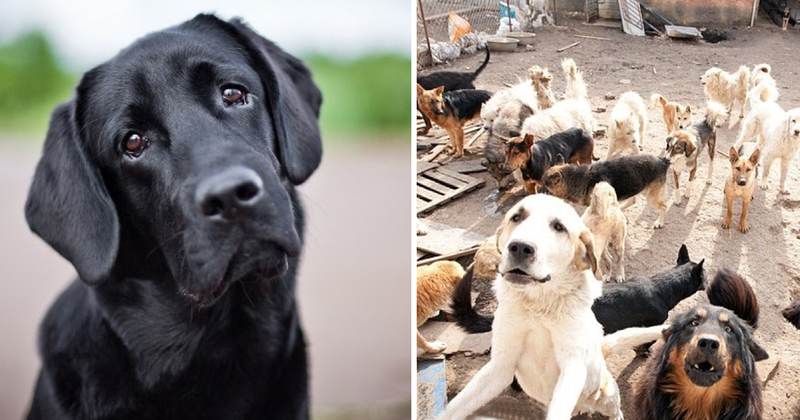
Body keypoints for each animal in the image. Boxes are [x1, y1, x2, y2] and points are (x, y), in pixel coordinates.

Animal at [440, 194, 664, 420]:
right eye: (516, 217)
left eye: (559, 227)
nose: (519, 247)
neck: (539, 306)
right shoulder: (500, 366)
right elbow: (455, 407)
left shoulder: (573, 367)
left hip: (607, 393)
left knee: (616, 409)